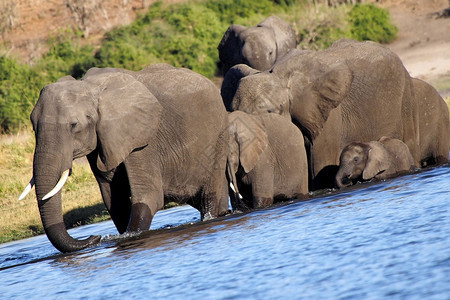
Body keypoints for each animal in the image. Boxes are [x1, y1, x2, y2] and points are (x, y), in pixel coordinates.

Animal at [19, 63, 230, 253]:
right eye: (33, 127)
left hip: (218, 138)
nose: (95, 237)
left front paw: (132, 236)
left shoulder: (143, 141)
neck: (90, 88)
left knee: (209, 194)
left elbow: (148, 197)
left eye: (74, 125)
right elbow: (114, 201)